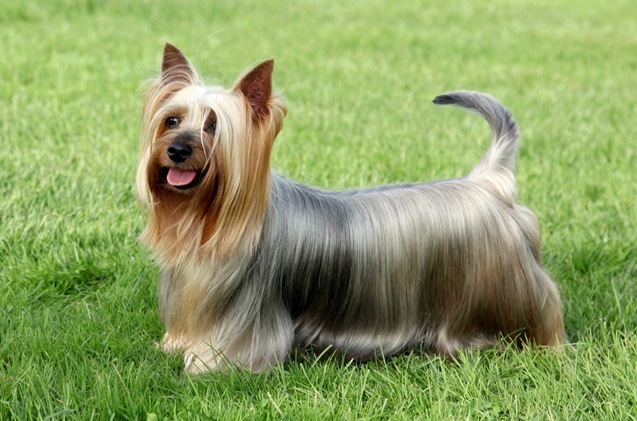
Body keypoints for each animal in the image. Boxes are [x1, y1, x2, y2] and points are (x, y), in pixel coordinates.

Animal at [137, 41, 564, 370]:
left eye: (213, 126)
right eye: (172, 120)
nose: (177, 150)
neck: (207, 216)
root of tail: (487, 182)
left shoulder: (250, 317)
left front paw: (204, 365)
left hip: (508, 286)